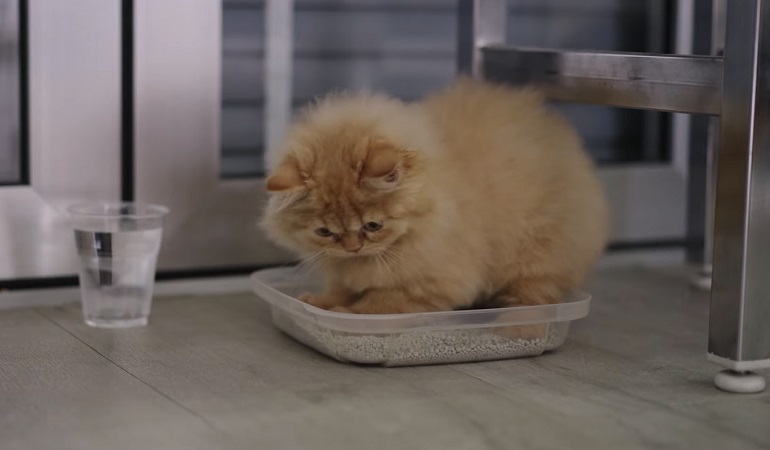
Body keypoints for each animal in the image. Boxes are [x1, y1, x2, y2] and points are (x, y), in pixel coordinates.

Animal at [260, 77, 608, 314]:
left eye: (373, 226)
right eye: (324, 232)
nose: (353, 247)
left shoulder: (427, 283)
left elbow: (378, 302)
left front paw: (344, 312)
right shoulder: (348, 273)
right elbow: (341, 287)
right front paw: (319, 302)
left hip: (535, 253)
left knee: (534, 292)